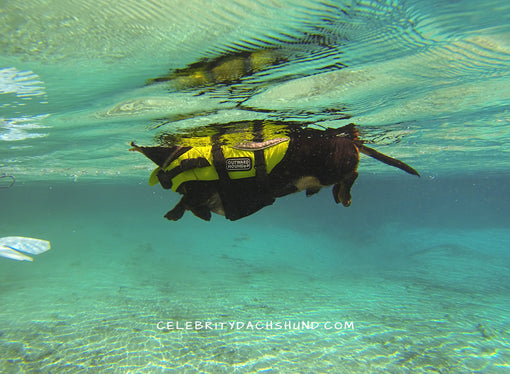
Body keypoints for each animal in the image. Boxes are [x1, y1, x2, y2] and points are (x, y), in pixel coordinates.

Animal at [128, 124, 418, 221]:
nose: (162, 182)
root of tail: (350, 140)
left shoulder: (202, 189)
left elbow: (187, 199)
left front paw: (175, 212)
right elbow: (189, 202)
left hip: (331, 166)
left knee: (351, 175)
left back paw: (344, 194)